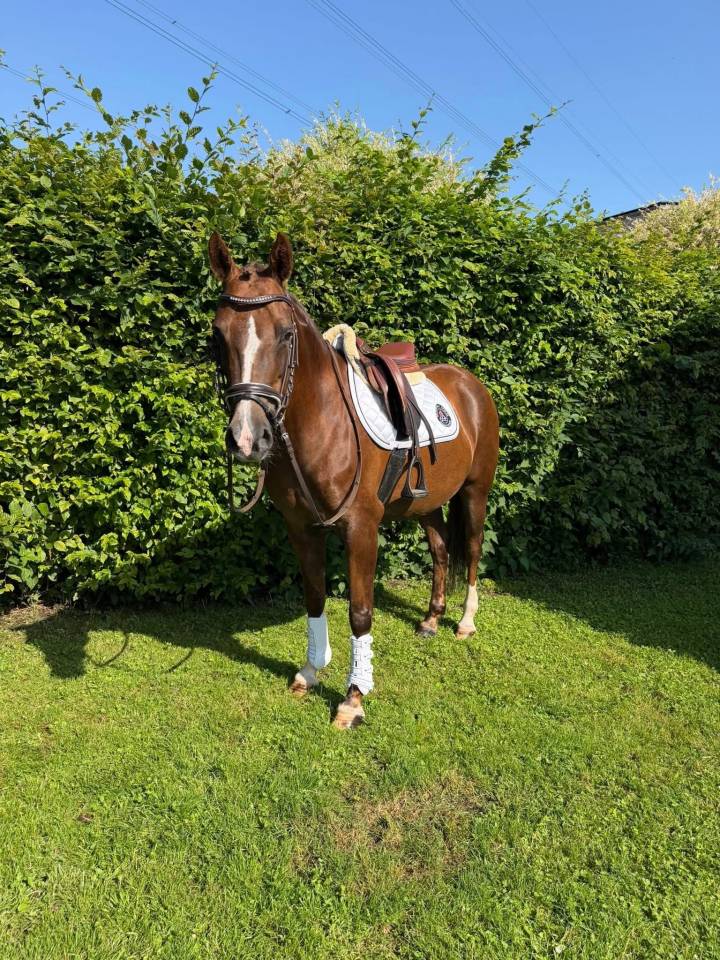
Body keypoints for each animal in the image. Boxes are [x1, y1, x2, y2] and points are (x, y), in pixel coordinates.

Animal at [208, 231, 499, 729]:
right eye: (218, 333)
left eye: (285, 335)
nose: (248, 439)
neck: (324, 424)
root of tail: (472, 385)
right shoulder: (302, 529)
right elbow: (315, 598)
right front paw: (310, 672)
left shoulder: (361, 528)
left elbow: (361, 613)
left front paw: (354, 697)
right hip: (426, 502)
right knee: (442, 549)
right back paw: (430, 619)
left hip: (475, 493)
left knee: (474, 551)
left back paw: (464, 622)